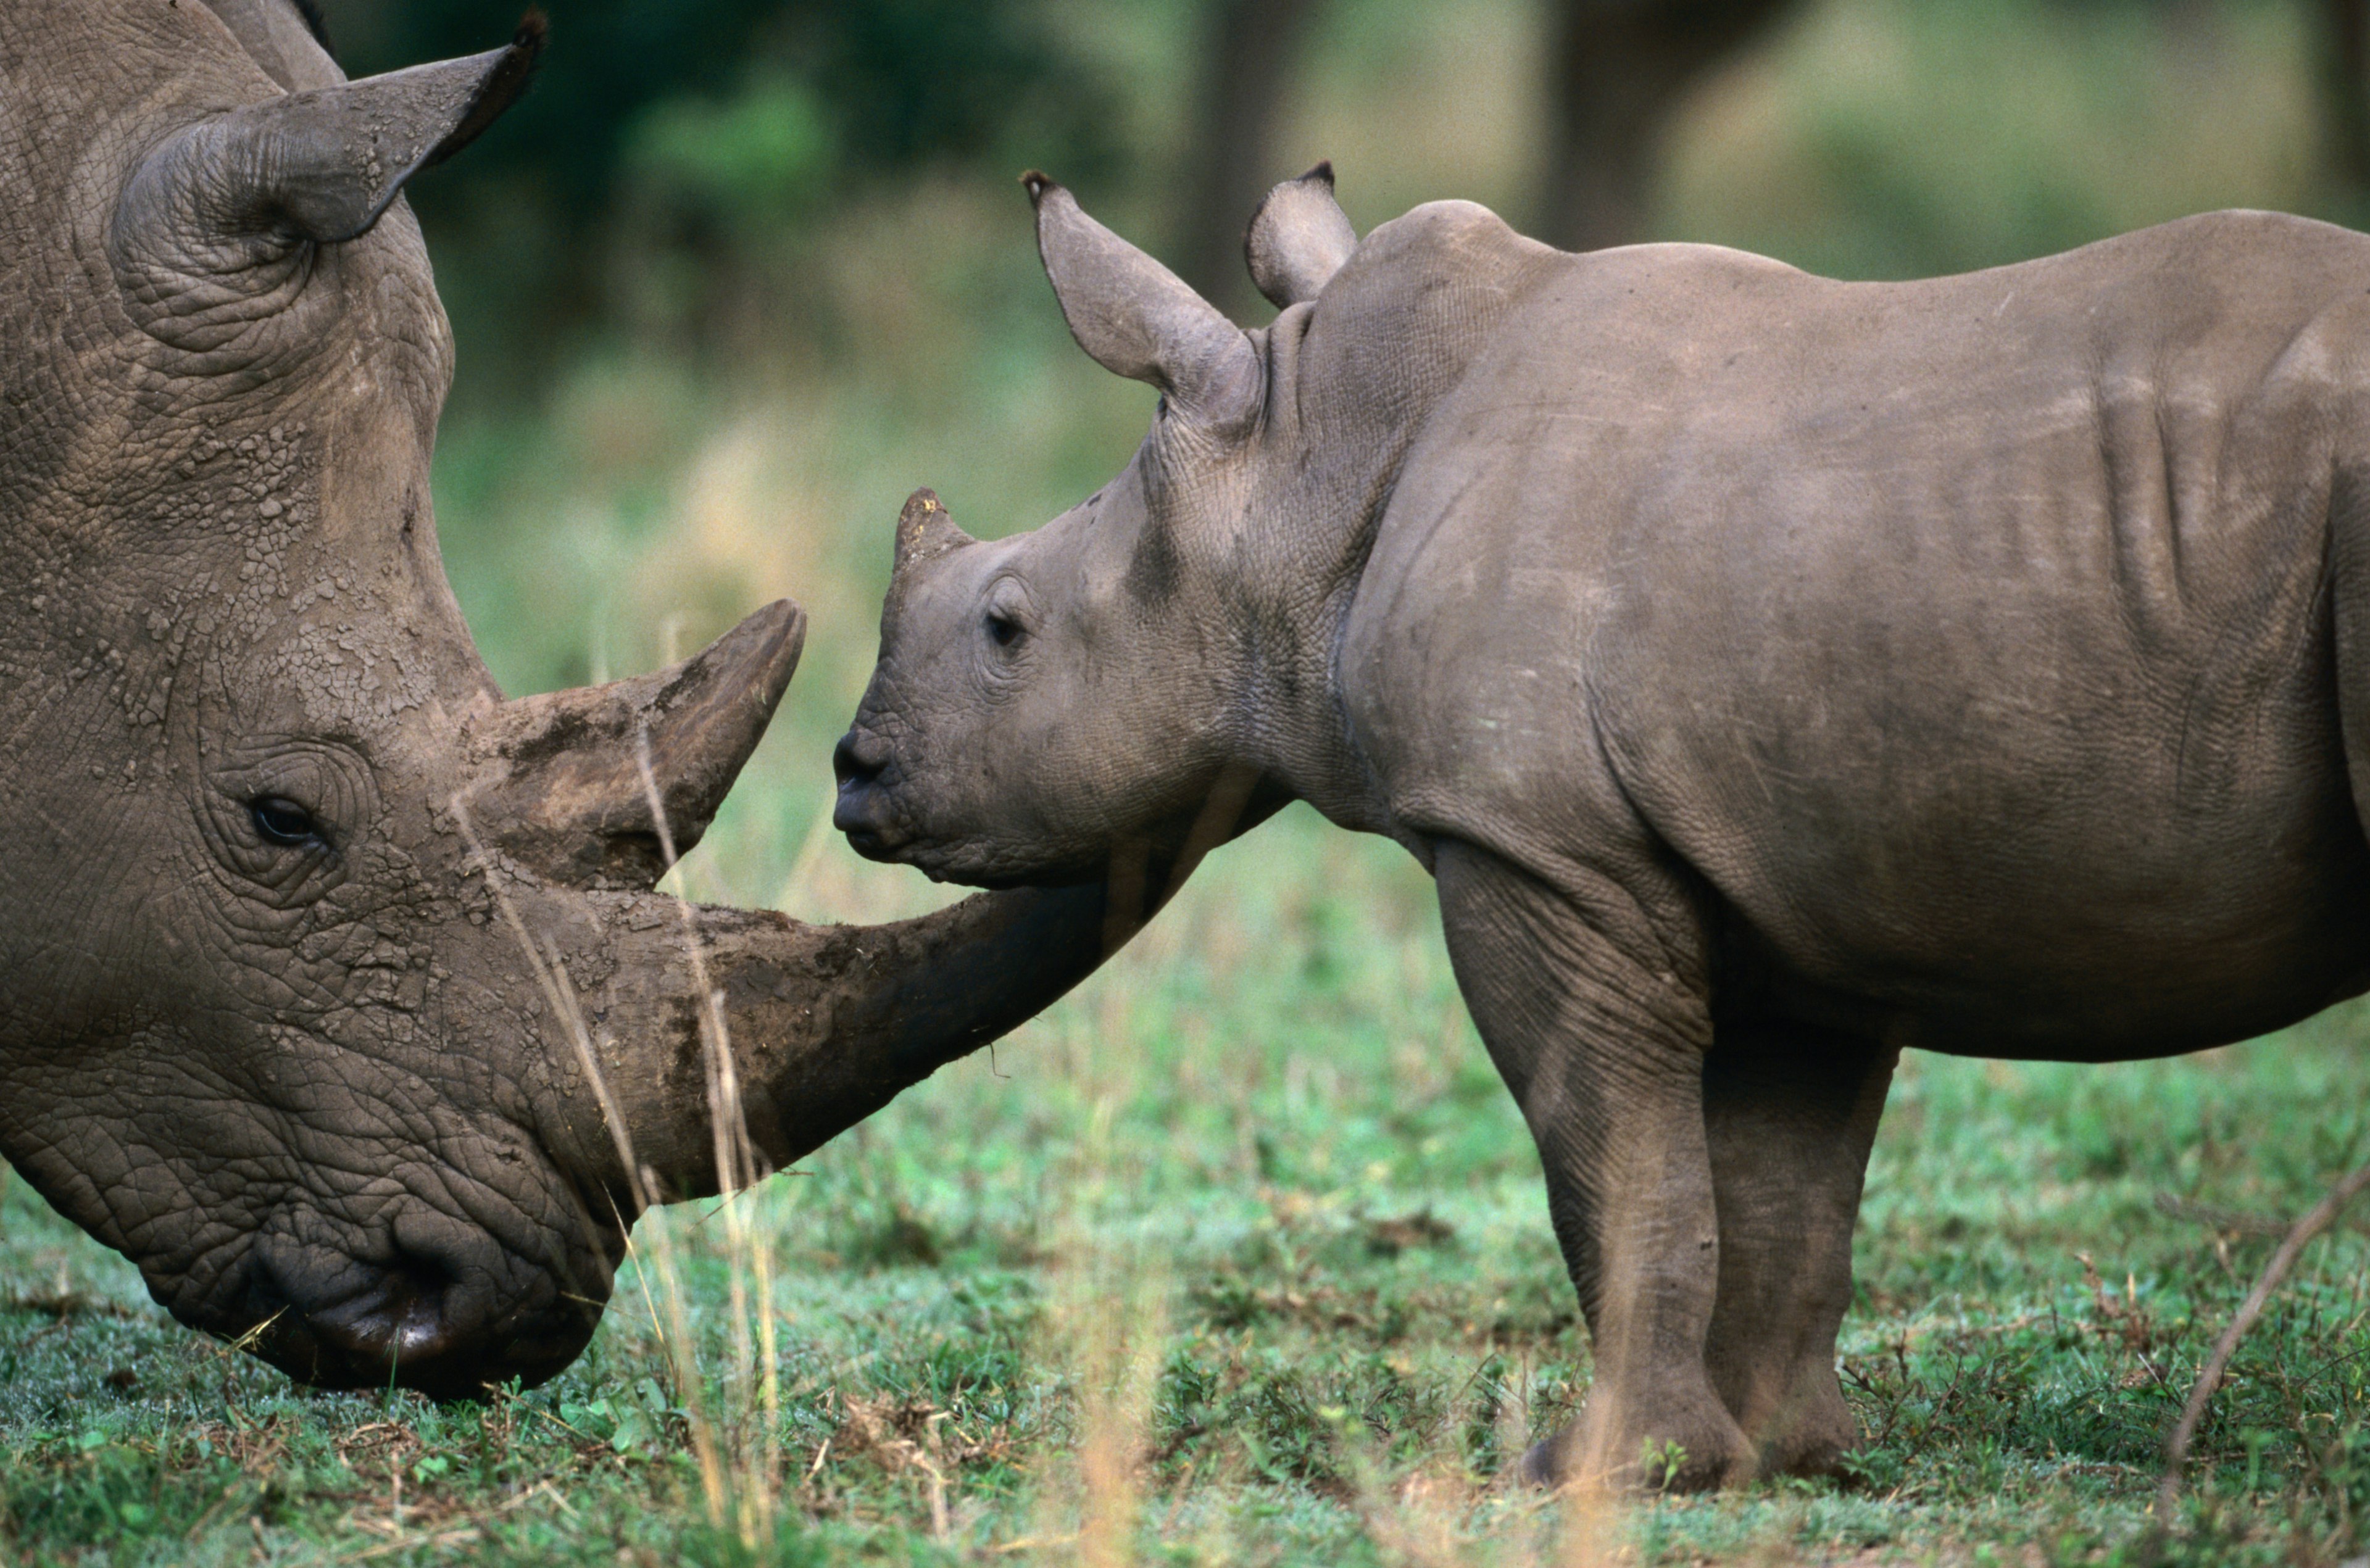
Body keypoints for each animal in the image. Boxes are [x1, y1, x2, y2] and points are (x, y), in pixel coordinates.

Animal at [839, 165, 2370, 1496]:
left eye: (1008, 626)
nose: (855, 778)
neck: (1308, 465)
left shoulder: (1536, 844)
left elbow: (1615, 1158)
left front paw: (1604, 1473)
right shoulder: (1791, 863)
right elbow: (1780, 1192)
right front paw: (1778, 1456)